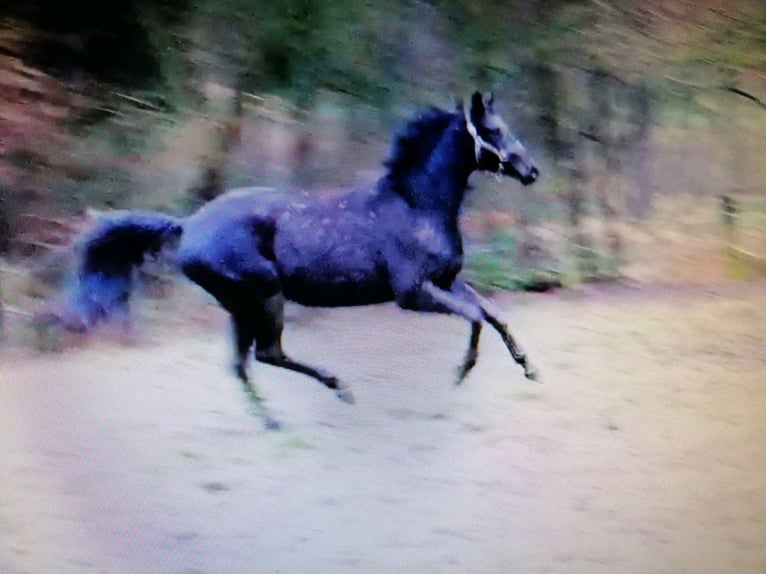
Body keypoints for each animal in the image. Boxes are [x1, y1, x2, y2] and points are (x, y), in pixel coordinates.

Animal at [58, 91, 540, 410]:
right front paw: (460, 374)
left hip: (240, 305)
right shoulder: (413, 293)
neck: (416, 205)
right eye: (494, 130)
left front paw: (529, 367)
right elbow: (476, 317)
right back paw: (337, 388)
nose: (531, 170)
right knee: (266, 354)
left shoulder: (447, 280)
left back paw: (274, 420)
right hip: (265, 295)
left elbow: (494, 314)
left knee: (242, 363)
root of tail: (188, 225)